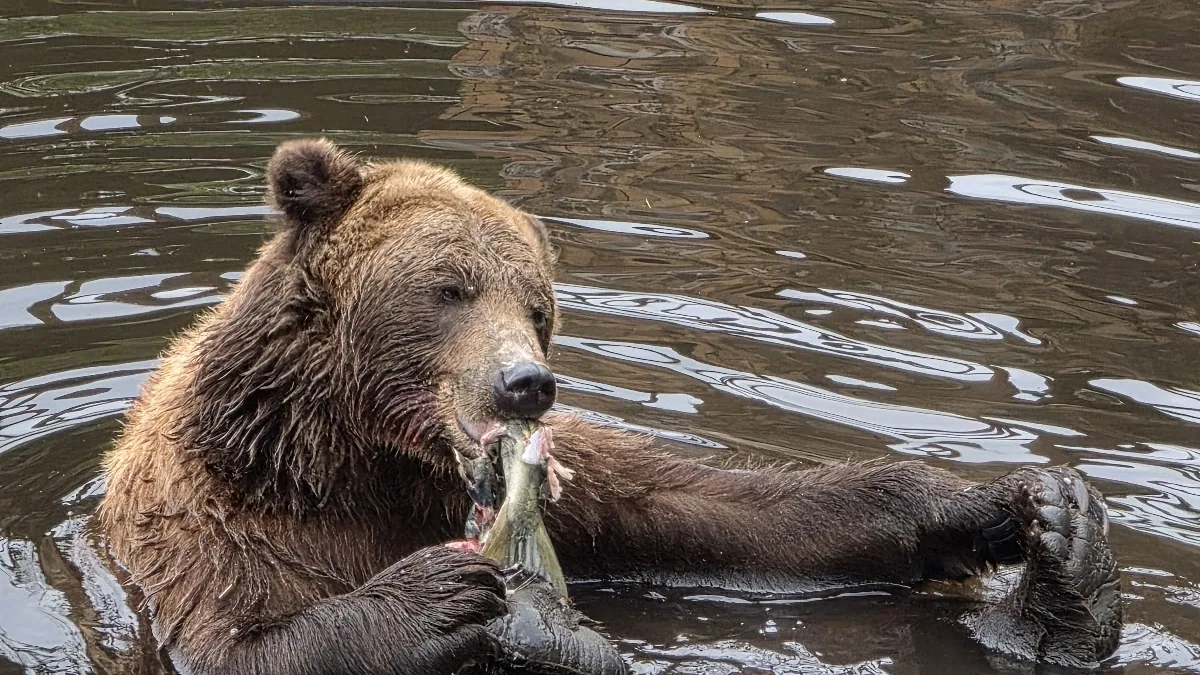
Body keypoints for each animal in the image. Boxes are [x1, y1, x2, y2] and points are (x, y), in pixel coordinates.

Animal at [97, 137, 1122, 675]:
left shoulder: (574, 476)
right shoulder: (215, 515)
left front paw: (1007, 502)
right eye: (450, 288)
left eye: (536, 305)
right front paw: (445, 593)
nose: (523, 381)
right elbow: (235, 641)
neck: (345, 457)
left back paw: (1068, 585)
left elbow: (731, 515)